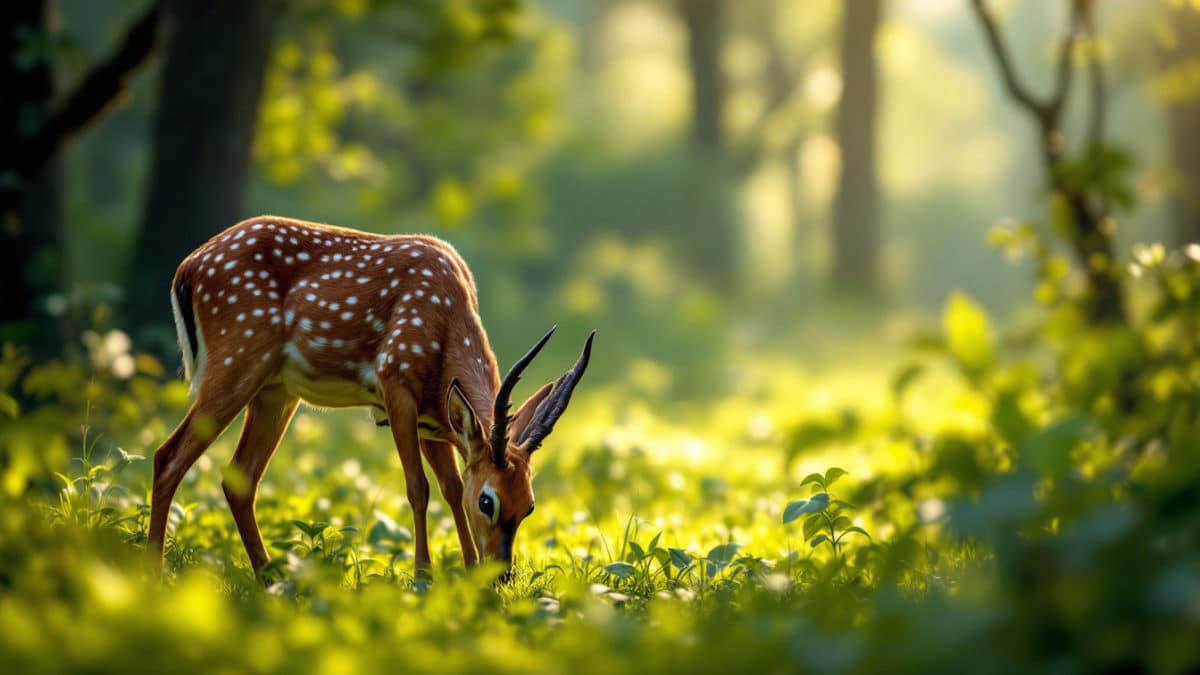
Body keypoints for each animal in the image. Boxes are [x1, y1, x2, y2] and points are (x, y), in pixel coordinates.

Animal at [147, 213, 592, 578]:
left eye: (529, 505)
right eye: (488, 502)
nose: (502, 575)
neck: (446, 330)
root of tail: (187, 268)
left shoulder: (434, 419)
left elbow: (450, 486)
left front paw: (466, 574)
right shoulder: (396, 382)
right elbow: (418, 487)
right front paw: (422, 577)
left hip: (275, 391)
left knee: (240, 478)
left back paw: (272, 580)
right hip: (236, 358)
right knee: (168, 456)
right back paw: (154, 574)